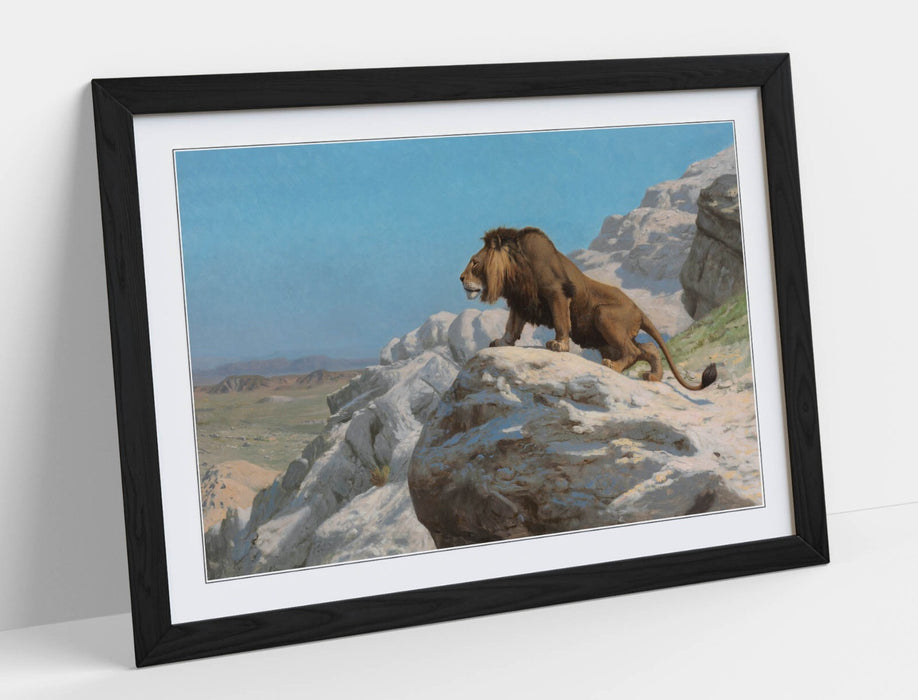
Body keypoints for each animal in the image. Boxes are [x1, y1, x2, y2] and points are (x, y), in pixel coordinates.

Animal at [459, 226, 716, 391]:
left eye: (475, 262)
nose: (461, 278)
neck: (515, 270)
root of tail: (639, 310)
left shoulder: (556, 293)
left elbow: (561, 321)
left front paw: (559, 345)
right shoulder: (521, 300)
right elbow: (511, 326)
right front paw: (501, 342)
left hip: (603, 315)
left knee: (633, 351)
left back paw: (614, 366)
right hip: (606, 340)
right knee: (648, 348)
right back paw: (654, 376)